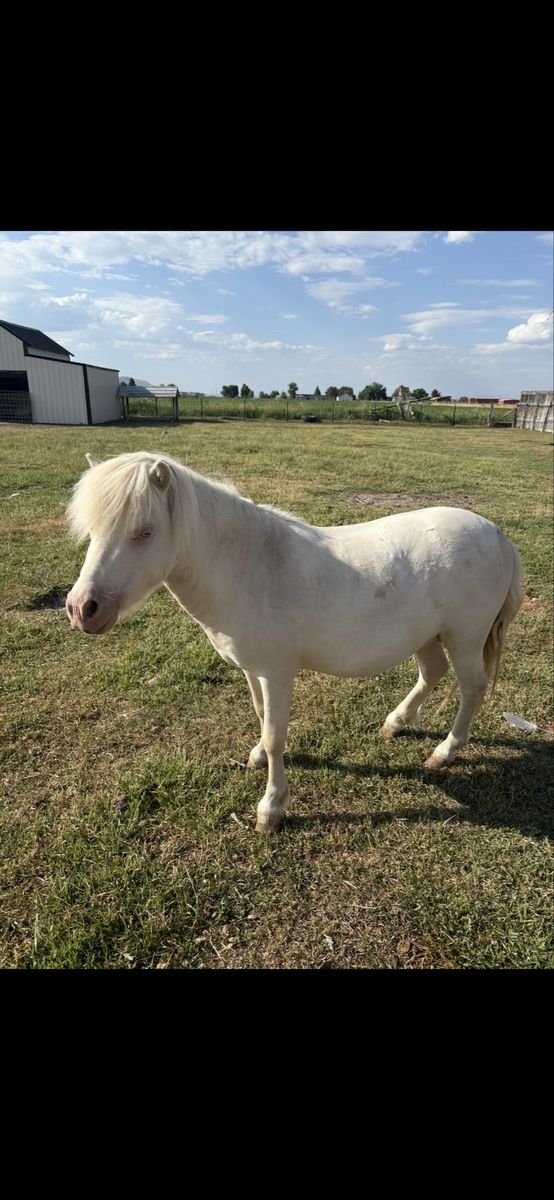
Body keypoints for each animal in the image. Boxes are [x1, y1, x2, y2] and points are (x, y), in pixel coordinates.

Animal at [65, 451, 523, 833]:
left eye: (144, 532)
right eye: (92, 530)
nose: (82, 608)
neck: (248, 566)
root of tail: (499, 537)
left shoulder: (277, 673)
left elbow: (275, 735)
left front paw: (271, 808)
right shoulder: (253, 669)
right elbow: (260, 716)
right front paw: (255, 758)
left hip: (464, 637)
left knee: (471, 686)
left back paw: (446, 751)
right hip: (426, 635)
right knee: (432, 672)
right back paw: (395, 722)